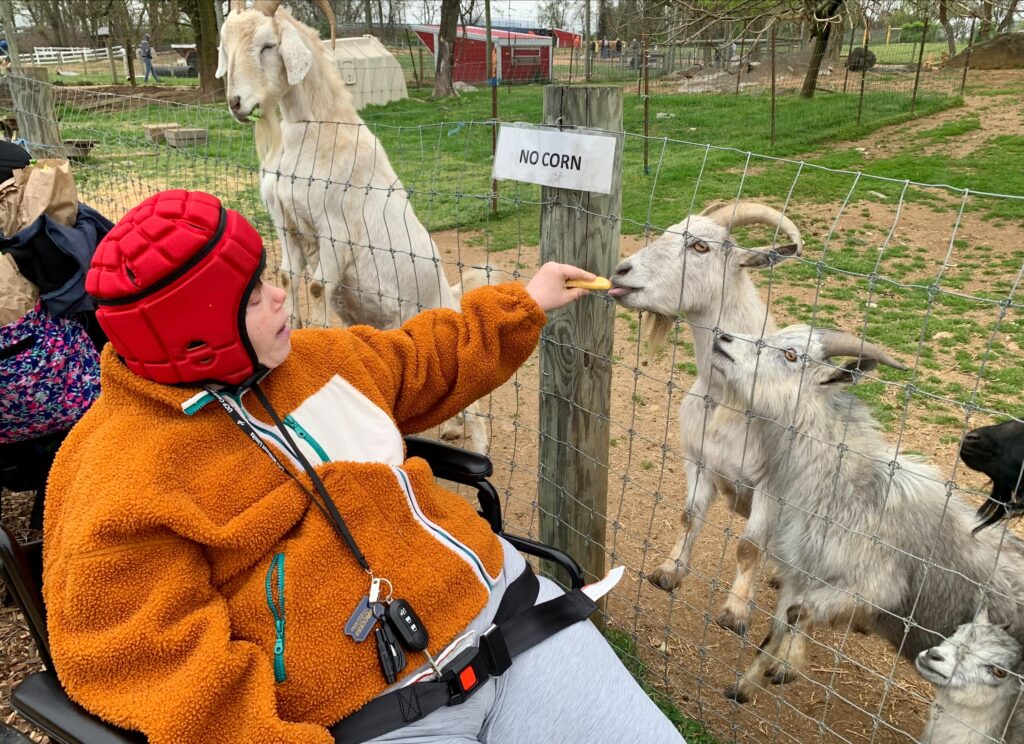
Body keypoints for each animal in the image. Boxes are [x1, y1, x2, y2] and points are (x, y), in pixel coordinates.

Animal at [216, 0, 487, 454]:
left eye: (269, 44)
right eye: (227, 43)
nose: (237, 103)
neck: (314, 134)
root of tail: (451, 295)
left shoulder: (335, 229)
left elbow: (315, 286)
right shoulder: (285, 222)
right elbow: (288, 277)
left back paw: (480, 445)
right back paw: (450, 429)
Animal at [606, 200, 798, 638]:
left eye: (699, 246)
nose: (621, 271)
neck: (730, 398)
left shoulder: (771, 486)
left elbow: (749, 546)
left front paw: (736, 612)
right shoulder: (698, 460)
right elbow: (688, 516)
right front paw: (669, 571)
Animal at [712, 325, 1024, 704]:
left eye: (791, 355)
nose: (722, 338)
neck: (846, 486)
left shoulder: (874, 586)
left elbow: (799, 613)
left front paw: (787, 667)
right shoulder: (801, 571)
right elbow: (778, 624)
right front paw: (745, 685)